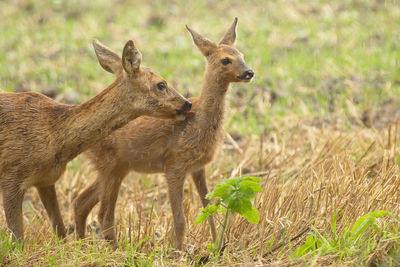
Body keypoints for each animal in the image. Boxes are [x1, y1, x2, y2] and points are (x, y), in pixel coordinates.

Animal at [0, 40, 191, 243]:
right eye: (161, 84)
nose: (187, 103)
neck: (54, 136)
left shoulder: (46, 179)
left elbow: (60, 230)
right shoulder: (11, 175)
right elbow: (17, 238)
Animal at [72, 17, 253, 250]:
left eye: (242, 55)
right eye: (225, 60)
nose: (249, 72)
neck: (198, 122)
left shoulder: (198, 167)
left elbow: (208, 208)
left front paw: (217, 246)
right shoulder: (174, 165)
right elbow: (179, 218)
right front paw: (179, 252)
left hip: (118, 168)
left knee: (81, 201)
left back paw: (80, 244)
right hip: (109, 166)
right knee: (102, 213)